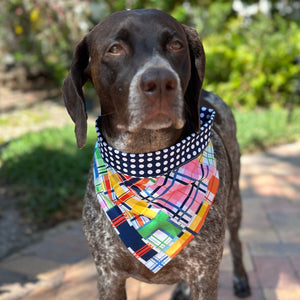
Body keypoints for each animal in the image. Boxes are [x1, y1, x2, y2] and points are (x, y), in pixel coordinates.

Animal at [62, 8, 250, 298]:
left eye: (176, 45)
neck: (147, 162)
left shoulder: (204, 274)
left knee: (237, 242)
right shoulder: (109, 276)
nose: (161, 81)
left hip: (235, 205)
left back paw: (240, 278)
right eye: (115, 49)